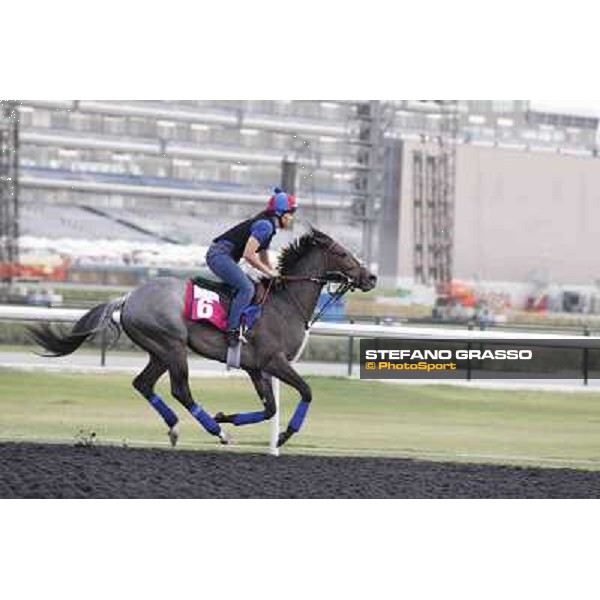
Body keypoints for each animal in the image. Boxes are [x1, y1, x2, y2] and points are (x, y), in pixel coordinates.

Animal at [29, 227, 376, 448]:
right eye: (343, 254)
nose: (371, 277)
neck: (285, 302)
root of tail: (128, 297)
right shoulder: (273, 361)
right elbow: (306, 392)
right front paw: (283, 436)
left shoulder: (255, 368)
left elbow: (269, 409)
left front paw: (229, 417)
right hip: (172, 345)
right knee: (180, 390)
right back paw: (215, 432)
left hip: (159, 350)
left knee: (143, 384)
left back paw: (176, 428)